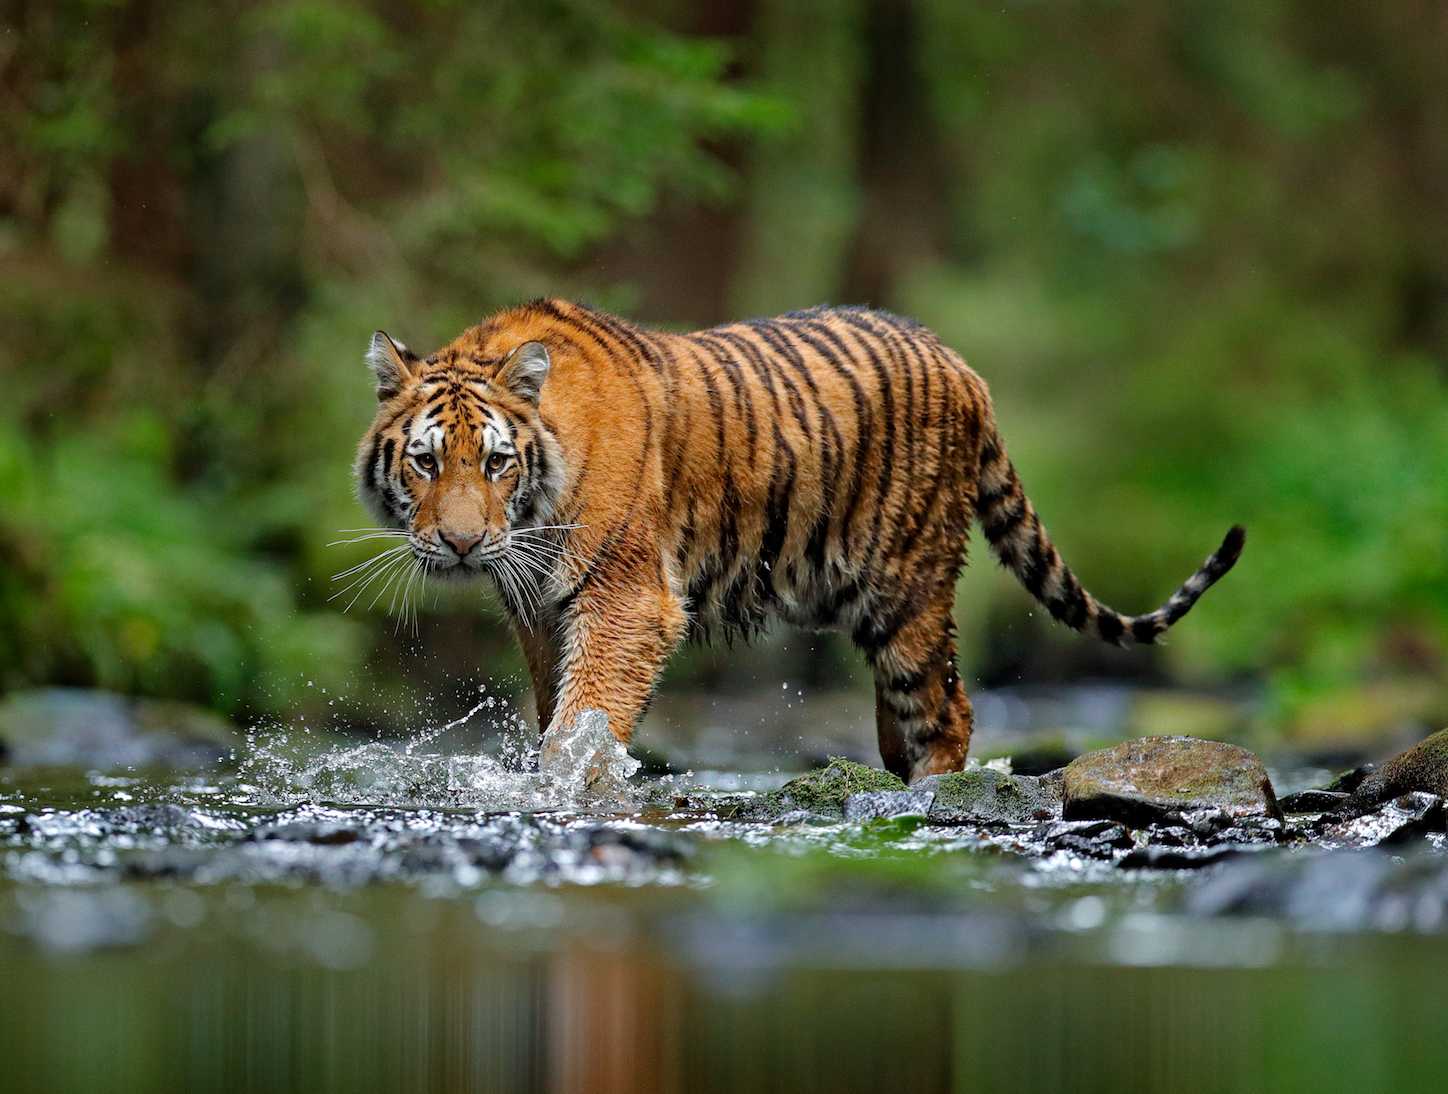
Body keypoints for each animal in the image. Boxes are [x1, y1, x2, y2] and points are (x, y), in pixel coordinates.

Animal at [354, 298, 1244, 782]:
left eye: (496, 462)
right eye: (426, 461)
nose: (462, 544)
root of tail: (963, 365)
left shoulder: (626, 600)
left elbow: (586, 717)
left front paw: (568, 786)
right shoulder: (540, 612)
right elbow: (556, 711)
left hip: (908, 589)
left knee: (947, 709)